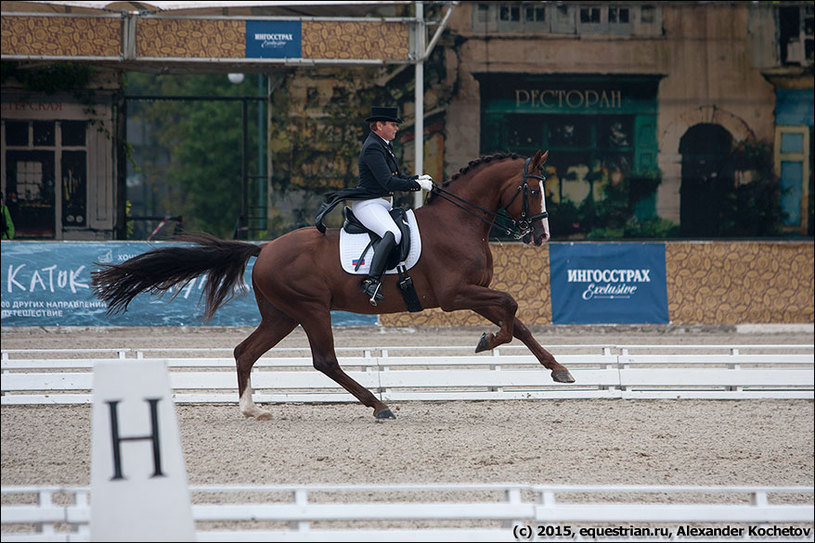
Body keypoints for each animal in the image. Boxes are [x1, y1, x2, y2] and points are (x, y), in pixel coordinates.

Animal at [91, 151, 572, 422]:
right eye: (533, 190)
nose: (542, 236)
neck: (460, 221)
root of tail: (264, 248)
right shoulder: (456, 295)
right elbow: (511, 307)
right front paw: (487, 341)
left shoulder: (473, 292)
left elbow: (518, 321)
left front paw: (558, 369)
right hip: (311, 309)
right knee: (324, 360)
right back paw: (378, 405)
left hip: (283, 315)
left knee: (245, 351)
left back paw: (251, 409)